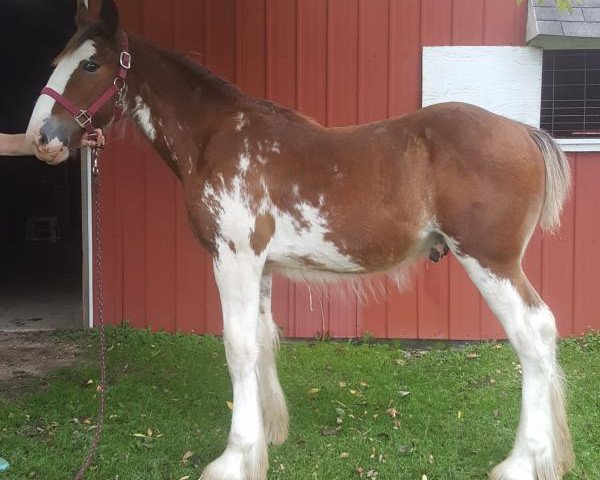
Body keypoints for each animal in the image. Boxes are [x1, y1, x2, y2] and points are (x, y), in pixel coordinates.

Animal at [25, 0, 576, 480]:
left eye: (90, 63)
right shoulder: (260, 266)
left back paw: (522, 461)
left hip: (491, 262)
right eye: (56, 62)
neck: (216, 137)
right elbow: (263, 340)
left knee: (533, 335)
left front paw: (234, 458)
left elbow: (239, 347)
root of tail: (523, 132)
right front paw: (266, 439)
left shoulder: (234, 259)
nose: (41, 138)